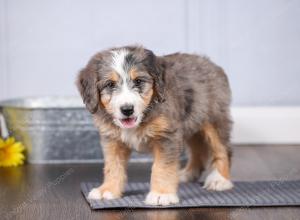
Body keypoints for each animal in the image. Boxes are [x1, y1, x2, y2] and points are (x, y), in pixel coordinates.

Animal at [76, 45, 233, 206]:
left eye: (138, 81)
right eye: (110, 84)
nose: (127, 109)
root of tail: (210, 63)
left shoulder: (167, 136)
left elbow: (162, 167)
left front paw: (161, 194)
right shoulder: (112, 139)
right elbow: (113, 165)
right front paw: (108, 189)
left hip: (214, 119)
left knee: (223, 149)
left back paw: (219, 180)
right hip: (192, 122)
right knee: (198, 150)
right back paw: (187, 174)